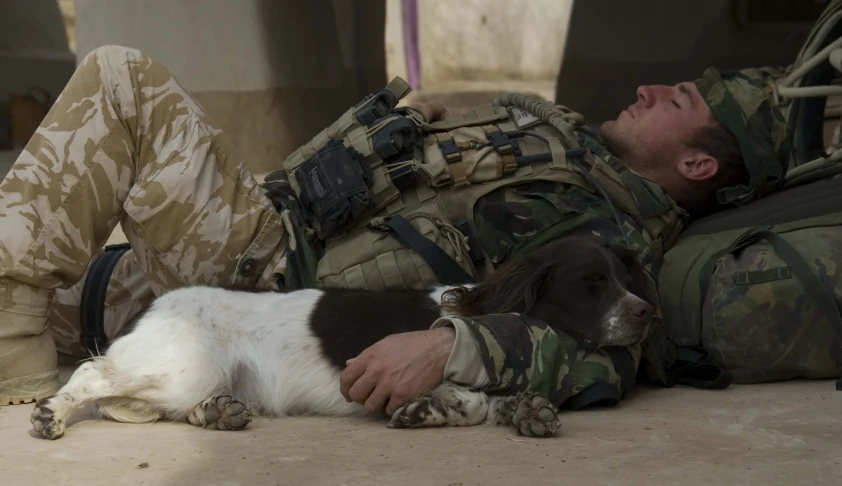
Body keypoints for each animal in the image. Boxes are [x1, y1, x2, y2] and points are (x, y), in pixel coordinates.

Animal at [29, 235, 656, 440]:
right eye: (591, 285)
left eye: (626, 279)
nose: (648, 313)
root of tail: (154, 305)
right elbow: (472, 401)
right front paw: (432, 408)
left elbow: (501, 399)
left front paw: (526, 410)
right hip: (181, 368)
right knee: (90, 373)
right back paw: (49, 415)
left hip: (190, 380)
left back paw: (220, 413)